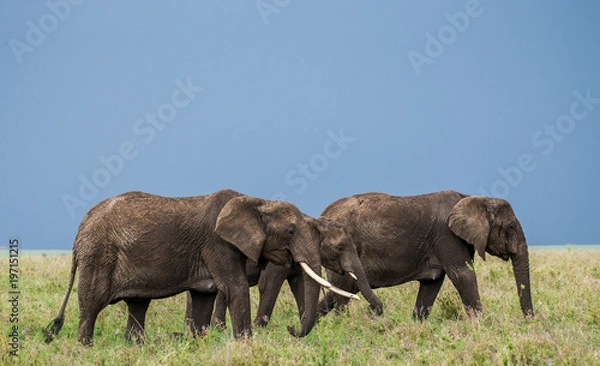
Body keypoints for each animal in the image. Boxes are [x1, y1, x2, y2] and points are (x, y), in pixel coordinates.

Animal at [45, 189, 352, 346]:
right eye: (290, 231)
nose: (291, 329)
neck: (258, 201)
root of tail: (80, 229)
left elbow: (205, 296)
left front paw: (200, 343)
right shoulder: (218, 243)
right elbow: (235, 288)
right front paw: (246, 346)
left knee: (137, 305)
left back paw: (136, 346)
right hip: (97, 255)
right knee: (91, 305)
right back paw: (84, 348)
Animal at [186, 217, 384, 334]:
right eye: (340, 248)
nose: (372, 311)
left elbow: (300, 286)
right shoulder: (278, 257)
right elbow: (269, 284)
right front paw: (260, 329)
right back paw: (217, 329)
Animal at [318, 190, 536, 322]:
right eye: (510, 227)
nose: (529, 320)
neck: (471, 198)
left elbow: (432, 284)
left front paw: (417, 323)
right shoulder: (447, 236)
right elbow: (463, 275)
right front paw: (482, 326)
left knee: (337, 292)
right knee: (342, 294)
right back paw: (342, 326)